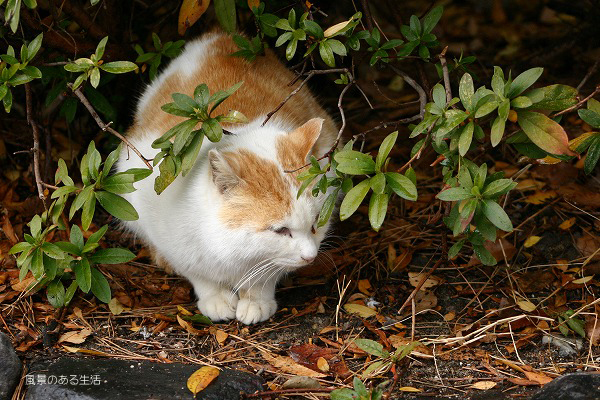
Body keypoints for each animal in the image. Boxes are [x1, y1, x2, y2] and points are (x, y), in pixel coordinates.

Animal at [117, 32, 338, 324]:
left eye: (316, 223)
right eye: (280, 230)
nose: (310, 257)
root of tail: (221, 36)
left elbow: (265, 274)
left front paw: (256, 299)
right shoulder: (167, 231)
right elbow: (197, 273)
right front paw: (216, 298)